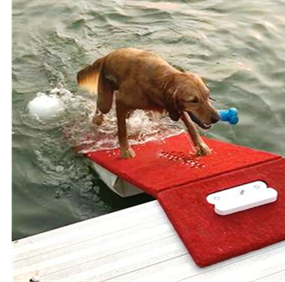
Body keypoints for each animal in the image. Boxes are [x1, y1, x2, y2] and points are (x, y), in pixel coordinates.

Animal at [76, 48, 219, 159]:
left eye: (207, 96)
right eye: (193, 101)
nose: (216, 118)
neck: (161, 82)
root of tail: (106, 57)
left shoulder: (175, 108)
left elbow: (191, 126)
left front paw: (201, 146)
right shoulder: (120, 100)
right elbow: (122, 130)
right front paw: (125, 151)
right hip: (105, 99)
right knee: (101, 109)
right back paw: (97, 119)